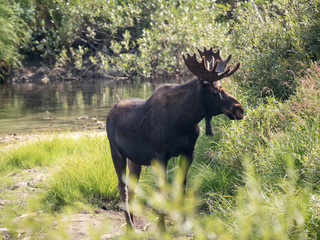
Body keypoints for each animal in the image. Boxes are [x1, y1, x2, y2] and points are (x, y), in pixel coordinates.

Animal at [106, 47, 244, 229]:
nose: (239, 109)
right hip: (116, 152)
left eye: (222, 87)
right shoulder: (159, 155)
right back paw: (130, 226)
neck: (184, 120)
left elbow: (182, 187)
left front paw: (183, 224)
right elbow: (163, 190)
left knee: (132, 185)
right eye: (215, 90)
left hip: (134, 160)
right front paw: (162, 226)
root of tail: (109, 114)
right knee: (122, 187)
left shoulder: (188, 152)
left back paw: (133, 221)